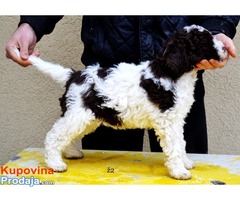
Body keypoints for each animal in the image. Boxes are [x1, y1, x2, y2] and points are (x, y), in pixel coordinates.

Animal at [14, 24, 227, 180]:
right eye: (205, 41)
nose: (225, 48)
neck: (173, 73)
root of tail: (74, 76)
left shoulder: (177, 120)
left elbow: (181, 143)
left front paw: (185, 162)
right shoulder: (167, 121)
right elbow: (174, 146)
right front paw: (179, 171)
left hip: (87, 117)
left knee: (67, 135)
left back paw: (71, 153)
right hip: (78, 114)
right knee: (54, 135)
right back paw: (55, 163)